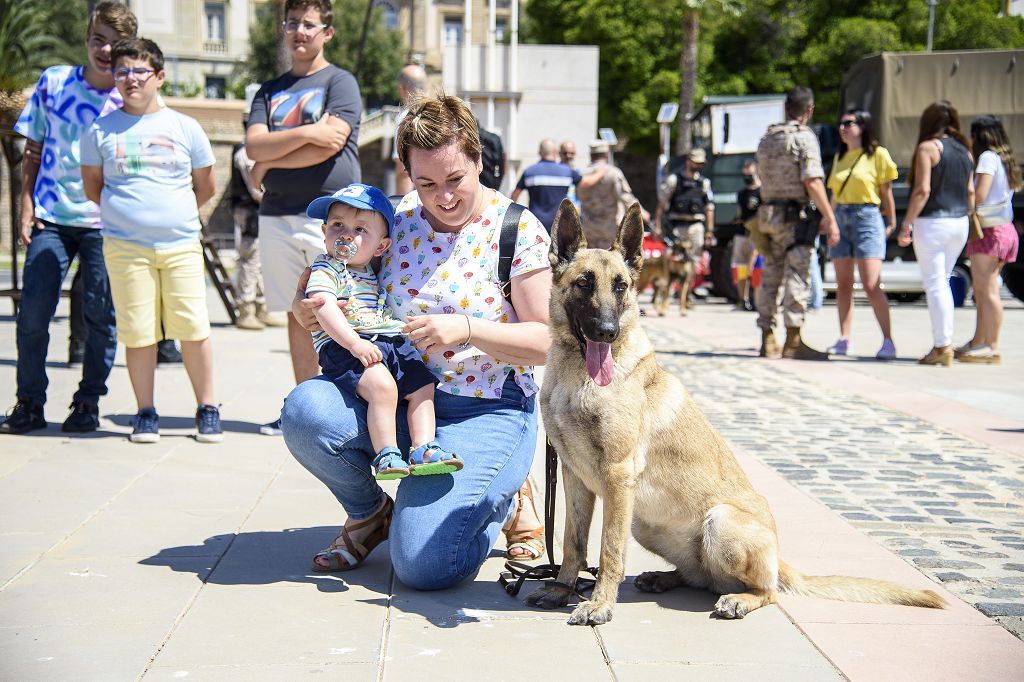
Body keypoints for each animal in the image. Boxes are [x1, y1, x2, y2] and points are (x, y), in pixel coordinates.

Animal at [528, 199, 942, 622]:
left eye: (620, 286)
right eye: (584, 283)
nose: (608, 332)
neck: (577, 373)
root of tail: (778, 558)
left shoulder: (617, 477)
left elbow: (609, 551)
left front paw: (600, 604)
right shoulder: (575, 477)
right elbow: (573, 543)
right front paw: (562, 588)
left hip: (718, 521)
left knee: (768, 591)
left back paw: (739, 599)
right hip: (645, 525)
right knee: (699, 576)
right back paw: (665, 577)